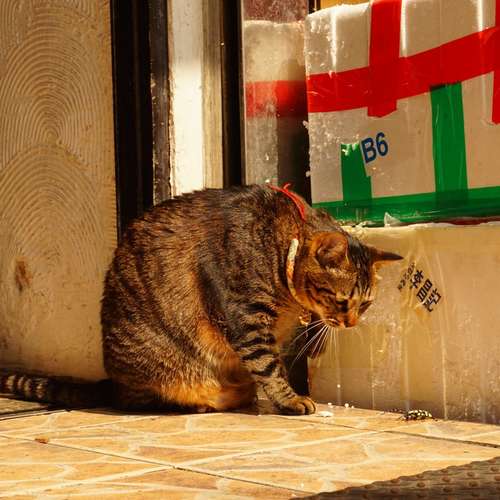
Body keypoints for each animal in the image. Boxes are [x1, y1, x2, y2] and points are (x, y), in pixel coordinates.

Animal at [0, 184, 402, 415]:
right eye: (341, 301)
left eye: (365, 304)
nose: (351, 323)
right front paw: (289, 399)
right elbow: (269, 366)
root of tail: (111, 379)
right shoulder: (246, 318)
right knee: (138, 400)